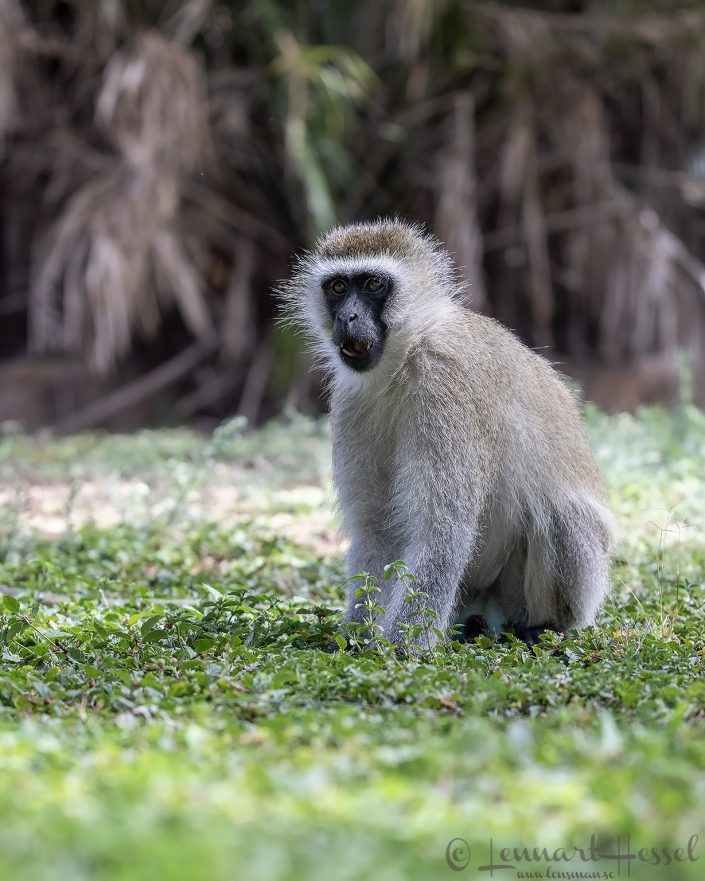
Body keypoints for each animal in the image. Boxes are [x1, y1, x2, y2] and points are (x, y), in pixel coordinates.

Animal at [278, 218, 617, 649]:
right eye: (338, 287)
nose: (348, 318)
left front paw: (402, 648)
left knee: (560, 514)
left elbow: (442, 530)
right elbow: (377, 528)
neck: (405, 358)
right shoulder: (351, 403)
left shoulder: (446, 384)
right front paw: (356, 638)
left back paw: (544, 627)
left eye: (373, 284)